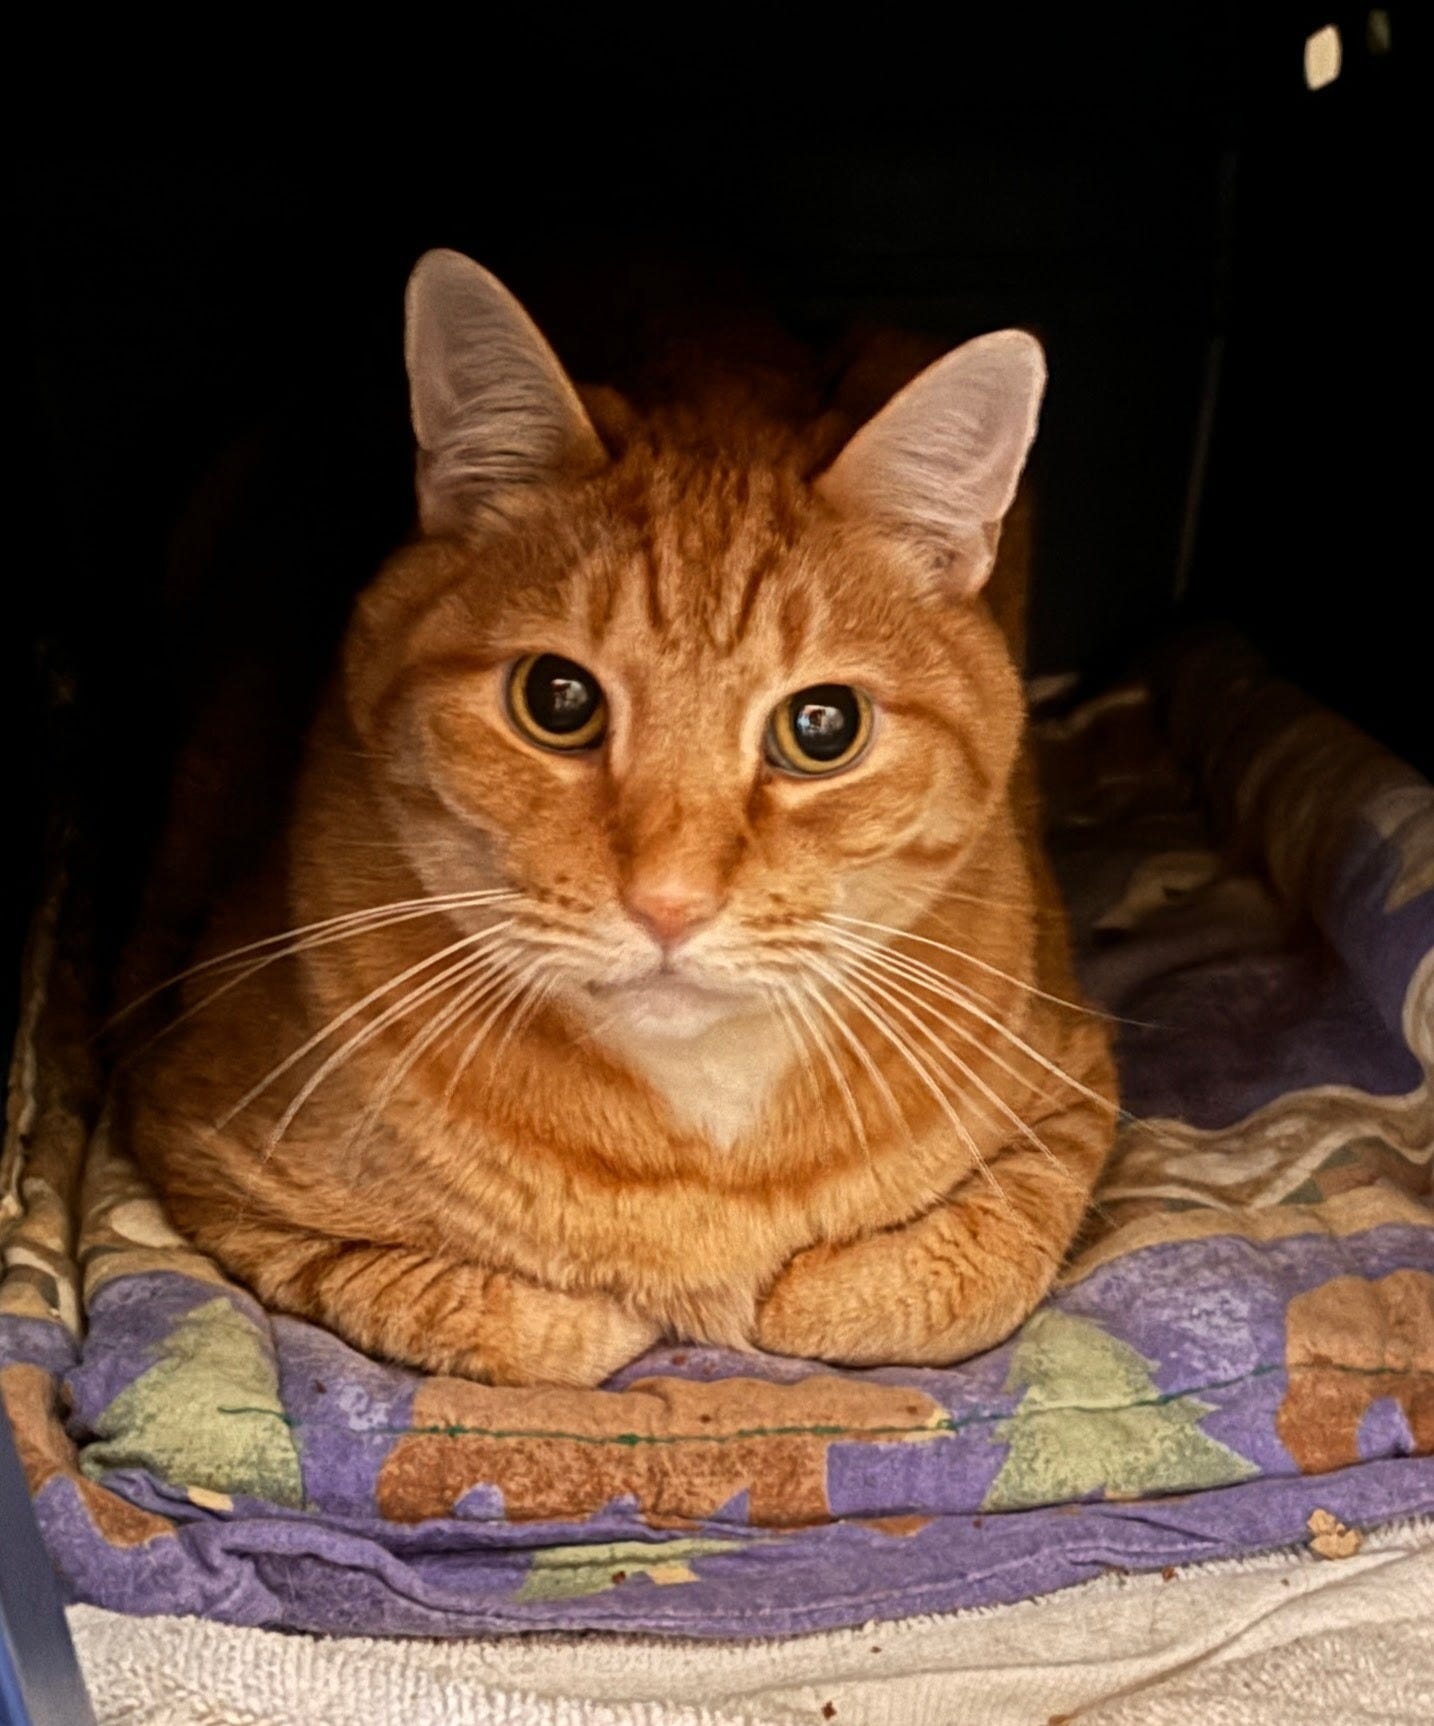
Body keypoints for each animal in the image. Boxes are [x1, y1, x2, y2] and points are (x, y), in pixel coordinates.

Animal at [123, 251, 1118, 1387]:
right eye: (557, 700)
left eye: (823, 726)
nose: (669, 904)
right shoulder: (195, 1135)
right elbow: (529, 1321)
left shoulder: (1072, 1092)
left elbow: (904, 1291)